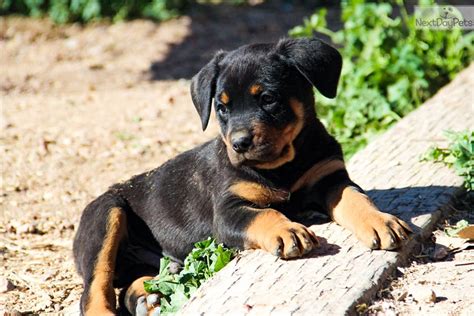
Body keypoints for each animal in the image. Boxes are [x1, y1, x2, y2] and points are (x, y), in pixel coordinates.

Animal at [73, 37, 412, 314]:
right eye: (221, 108)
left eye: (268, 99)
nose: (239, 143)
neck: (282, 167)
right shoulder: (228, 210)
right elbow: (264, 214)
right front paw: (287, 231)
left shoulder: (331, 177)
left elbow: (356, 199)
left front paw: (381, 222)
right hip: (106, 215)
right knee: (95, 287)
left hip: (157, 261)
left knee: (134, 280)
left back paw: (146, 299)